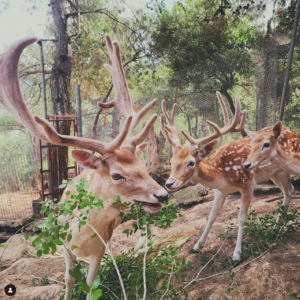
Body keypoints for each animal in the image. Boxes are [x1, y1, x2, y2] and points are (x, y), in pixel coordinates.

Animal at [0, 35, 169, 300]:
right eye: (117, 175)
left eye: (144, 165)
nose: (162, 194)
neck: (82, 236)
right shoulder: (65, 245)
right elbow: (69, 280)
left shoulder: (101, 246)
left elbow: (90, 283)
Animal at [161, 94, 296, 260]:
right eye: (171, 161)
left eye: (191, 162)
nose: (169, 183)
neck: (222, 176)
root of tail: (294, 133)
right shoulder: (219, 192)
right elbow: (211, 217)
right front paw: (196, 247)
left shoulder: (248, 184)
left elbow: (241, 218)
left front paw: (237, 255)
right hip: (274, 174)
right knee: (287, 191)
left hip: (283, 170)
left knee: (290, 190)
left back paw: (276, 228)